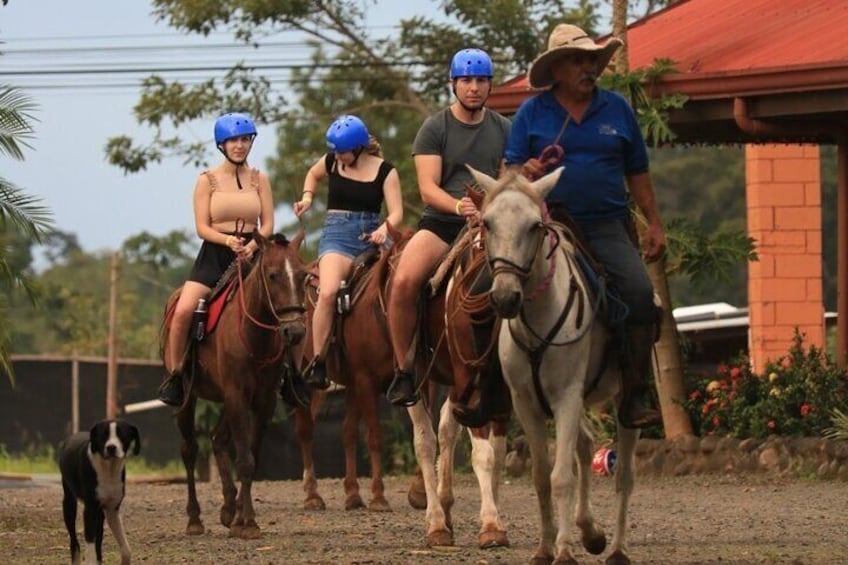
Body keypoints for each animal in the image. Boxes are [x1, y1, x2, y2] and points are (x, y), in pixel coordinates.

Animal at [59, 418, 140, 564]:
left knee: (99, 539)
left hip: (100, 513)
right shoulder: (90, 511)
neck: (109, 469)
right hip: (68, 505)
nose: (111, 447)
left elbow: (126, 549)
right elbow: (90, 544)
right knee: (74, 540)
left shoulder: (112, 510)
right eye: (103, 434)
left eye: (122, 434)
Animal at [159, 232, 308, 536]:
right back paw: (194, 519)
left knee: (217, 439)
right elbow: (245, 459)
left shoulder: (263, 401)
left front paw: (241, 515)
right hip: (189, 398)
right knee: (189, 449)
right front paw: (247, 522)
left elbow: (253, 457)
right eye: (272, 275)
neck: (254, 336)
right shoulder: (237, 395)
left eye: (303, 276)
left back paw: (228, 508)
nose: (295, 331)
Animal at [468, 166, 640, 564]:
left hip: (624, 401)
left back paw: (617, 548)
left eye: (534, 225)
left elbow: (561, 477)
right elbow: (542, 477)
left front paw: (563, 551)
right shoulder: (526, 403)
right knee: (586, 445)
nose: (505, 297)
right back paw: (591, 532)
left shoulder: (566, 397)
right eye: (487, 222)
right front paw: (546, 548)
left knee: (623, 473)